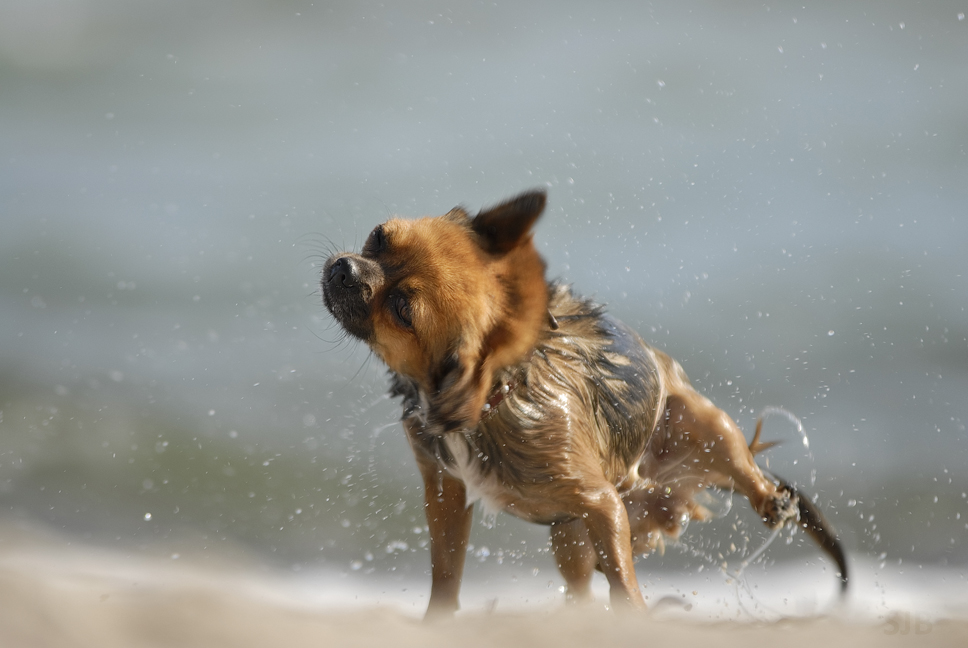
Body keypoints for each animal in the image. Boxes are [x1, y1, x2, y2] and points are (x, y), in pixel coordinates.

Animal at [322, 189, 844, 616]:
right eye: (379, 237)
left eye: (401, 309)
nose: (344, 268)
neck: (491, 399)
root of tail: (665, 499)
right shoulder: (446, 489)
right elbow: (447, 571)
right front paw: (439, 621)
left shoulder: (602, 503)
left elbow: (624, 584)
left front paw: (635, 616)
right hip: (568, 534)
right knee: (580, 580)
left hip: (698, 426)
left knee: (742, 465)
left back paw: (772, 501)